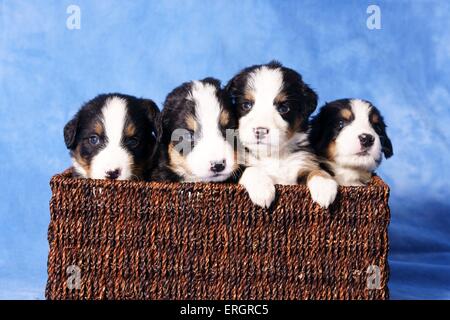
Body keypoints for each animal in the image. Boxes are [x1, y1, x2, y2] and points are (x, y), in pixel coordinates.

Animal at [229, 61, 338, 209]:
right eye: (246, 105)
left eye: (283, 108)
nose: (260, 130)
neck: (272, 155)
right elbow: (250, 169)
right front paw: (262, 190)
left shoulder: (302, 161)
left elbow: (315, 170)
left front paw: (324, 186)